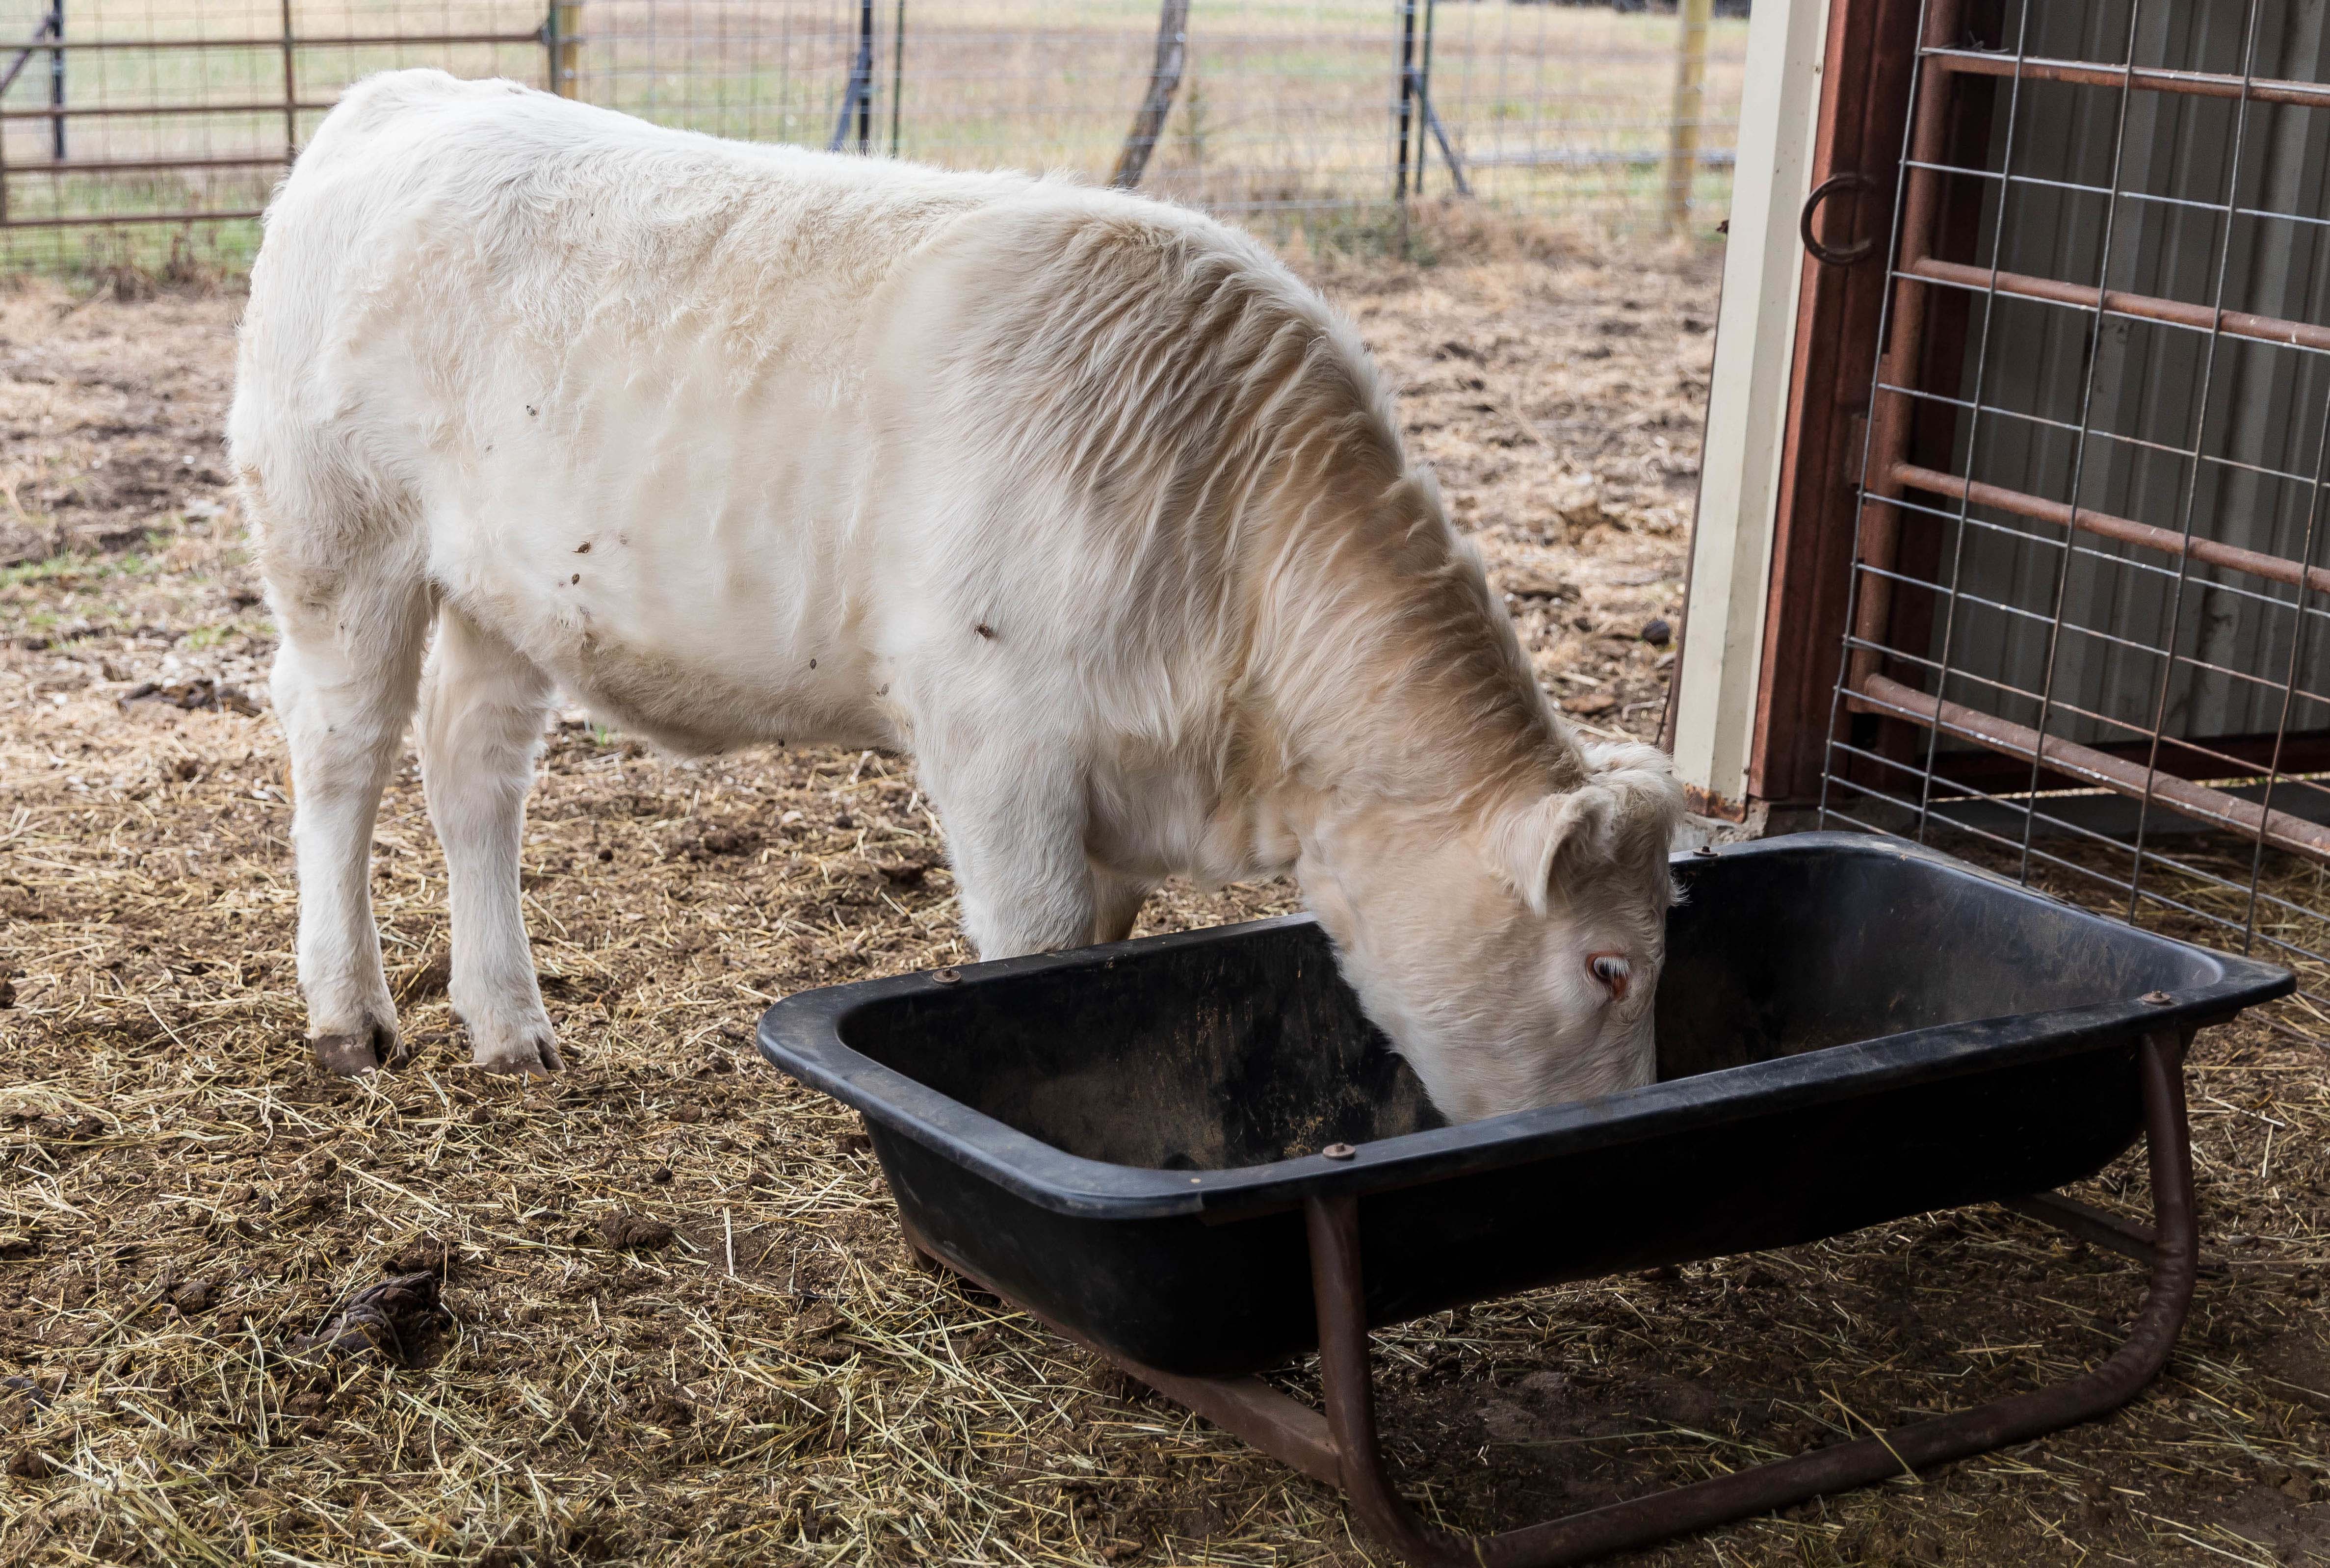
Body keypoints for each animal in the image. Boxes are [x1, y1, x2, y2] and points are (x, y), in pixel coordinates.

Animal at [229, 70, 1684, 1123]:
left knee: (473, 769)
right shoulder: (997, 742)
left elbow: (1101, 949)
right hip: (341, 544)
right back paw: (350, 1013)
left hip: (503, 589)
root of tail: (406, 96)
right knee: (339, 755)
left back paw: (509, 1019)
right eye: (1607, 964)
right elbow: (1035, 950)